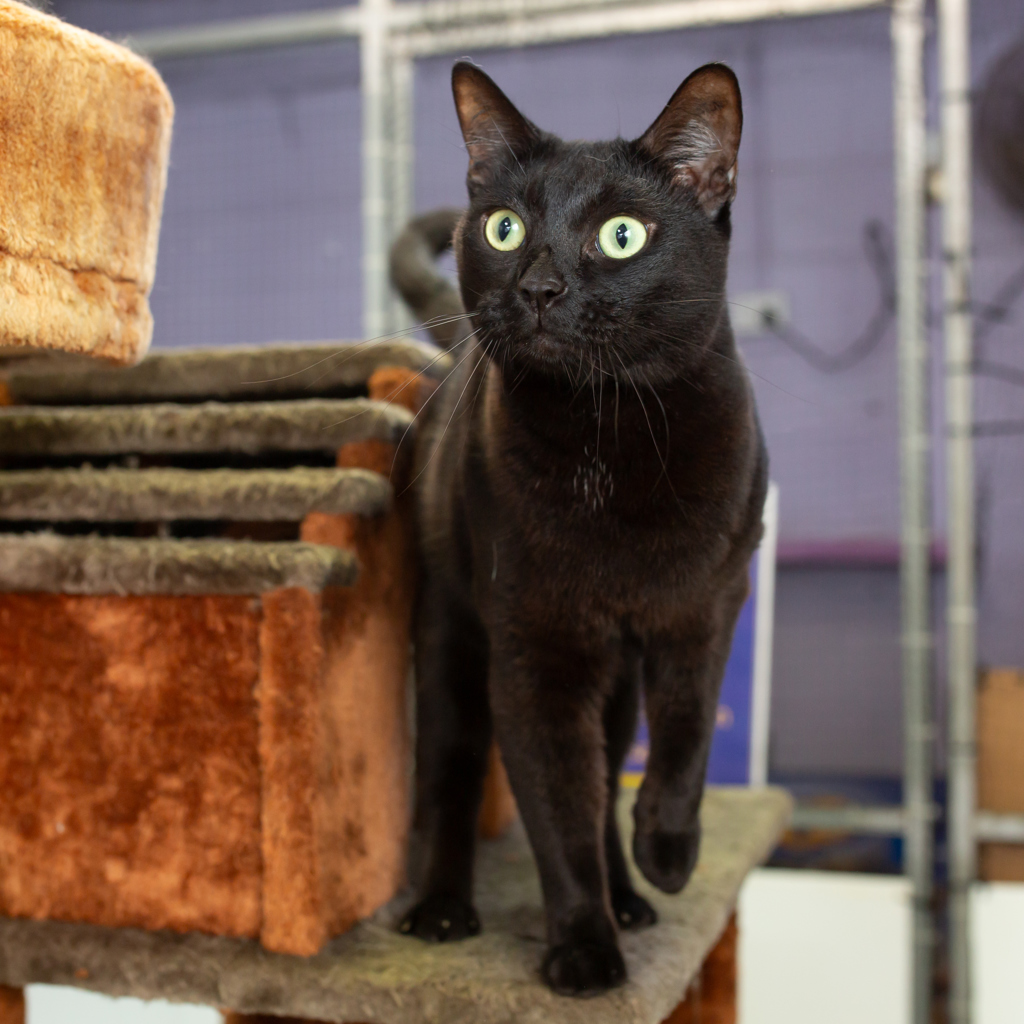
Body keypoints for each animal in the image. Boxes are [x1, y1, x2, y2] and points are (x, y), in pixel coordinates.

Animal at [395, 60, 768, 998]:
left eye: (623, 235)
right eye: (505, 227)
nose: (538, 288)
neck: (610, 435)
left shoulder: (709, 607)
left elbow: (686, 734)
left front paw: (667, 853)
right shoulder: (537, 649)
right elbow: (555, 806)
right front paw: (584, 951)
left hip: (618, 681)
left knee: (609, 764)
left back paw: (632, 891)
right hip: (451, 639)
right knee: (452, 774)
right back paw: (442, 907)